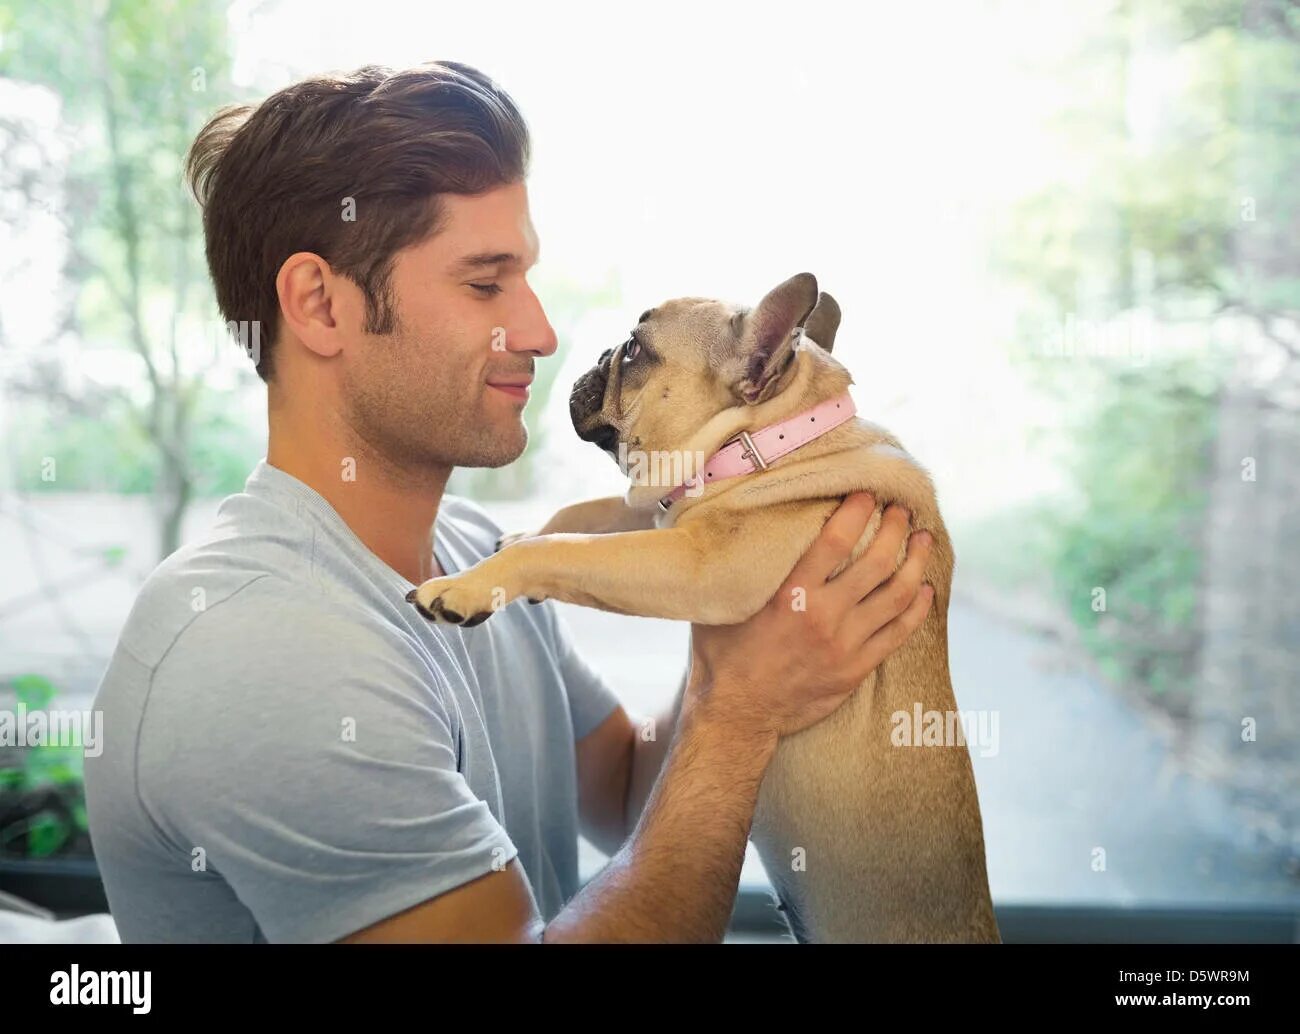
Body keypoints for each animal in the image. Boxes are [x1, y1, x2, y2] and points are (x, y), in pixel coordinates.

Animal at [410, 274, 998, 946]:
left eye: (635, 350)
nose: (599, 354)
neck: (769, 439)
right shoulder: (663, 517)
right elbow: (583, 514)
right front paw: (518, 534)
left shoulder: (697, 565)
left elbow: (565, 548)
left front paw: (469, 584)